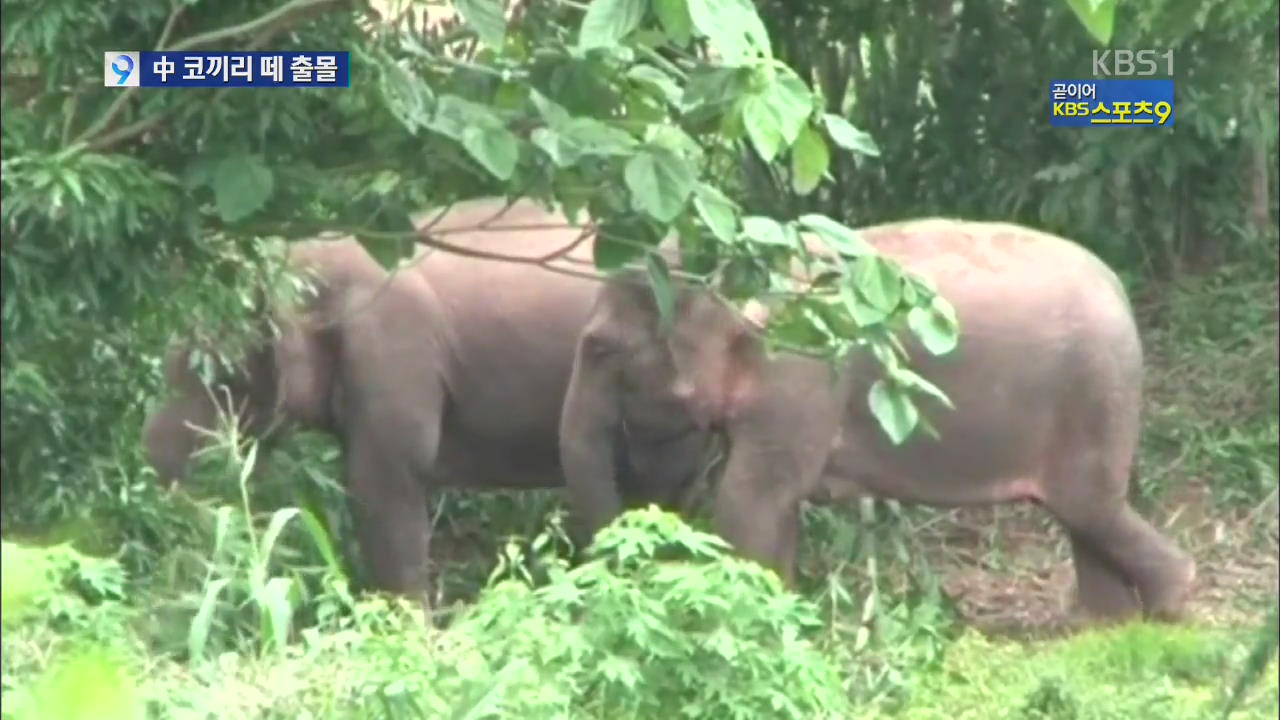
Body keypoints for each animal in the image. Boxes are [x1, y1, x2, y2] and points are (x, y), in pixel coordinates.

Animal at [560, 219, 1198, 622]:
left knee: (1089, 506)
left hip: (1095, 394)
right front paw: (786, 610)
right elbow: (778, 509)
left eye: (600, 348)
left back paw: (1171, 608)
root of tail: (1120, 289)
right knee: (1084, 516)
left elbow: (749, 500)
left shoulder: (801, 373)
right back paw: (1108, 627)